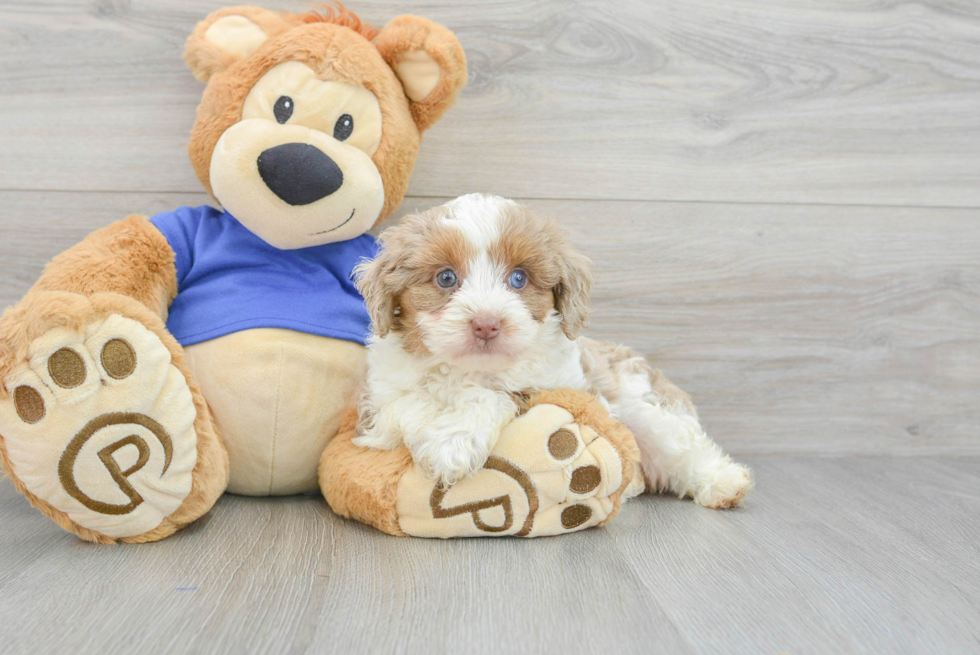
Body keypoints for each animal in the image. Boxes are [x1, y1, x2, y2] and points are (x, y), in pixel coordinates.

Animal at [352, 192, 752, 510]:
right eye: (446, 278)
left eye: (519, 278)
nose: (486, 323)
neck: (474, 369)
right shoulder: (377, 406)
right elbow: (415, 401)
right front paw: (447, 437)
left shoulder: (564, 389)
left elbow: (498, 395)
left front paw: (456, 440)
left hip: (641, 403)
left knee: (679, 444)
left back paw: (722, 481)